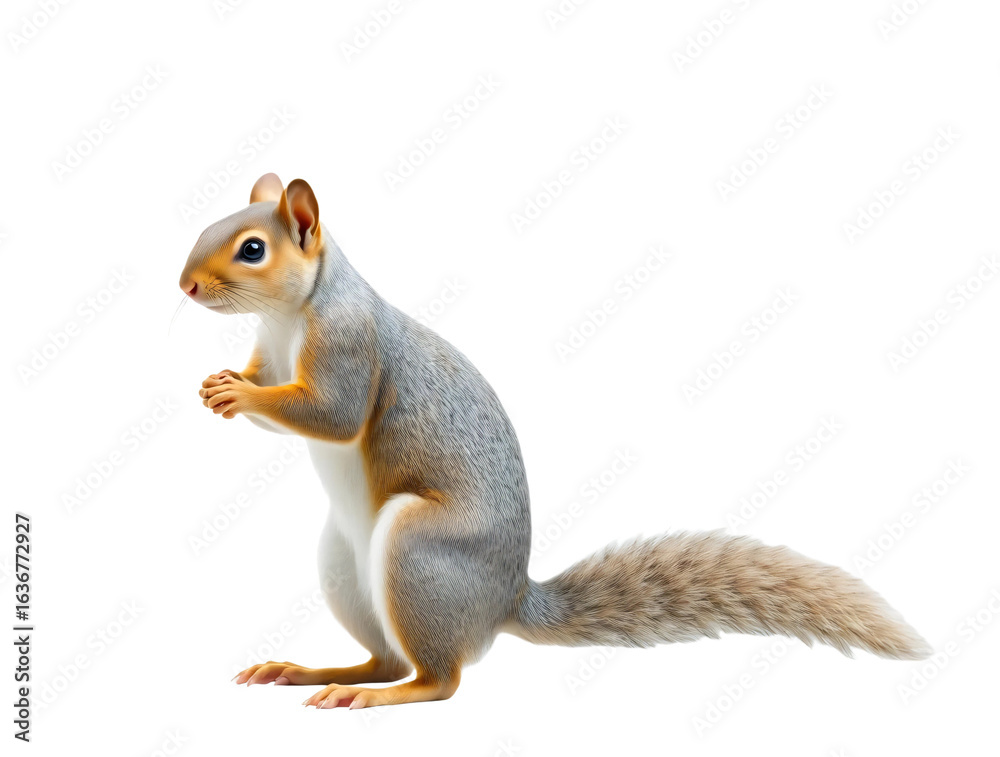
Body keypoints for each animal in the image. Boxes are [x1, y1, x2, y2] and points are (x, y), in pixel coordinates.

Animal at [179, 173, 930, 710]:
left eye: (253, 249)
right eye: (211, 225)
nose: (184, 285)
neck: (289, 317)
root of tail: (504, 601)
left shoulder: (347, 346)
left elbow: (332, 415)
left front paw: (237, 395)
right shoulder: (273, 351)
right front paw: (221, 385)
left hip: (418, 556)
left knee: (438, 678)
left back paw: (371, 693)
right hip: (344, 565)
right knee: (388, 656)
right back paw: (313, 670)